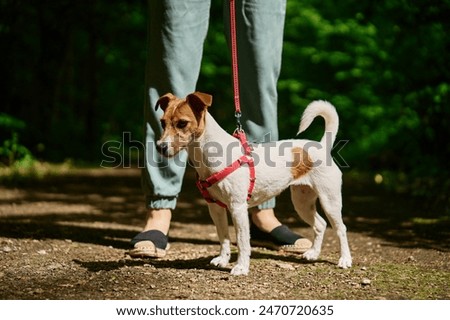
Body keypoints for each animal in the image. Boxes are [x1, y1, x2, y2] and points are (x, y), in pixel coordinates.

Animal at [155, 92, 352, 276]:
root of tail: (322, 147)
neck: (210, 156)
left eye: (182, 123)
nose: (160, 147)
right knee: (320, 224)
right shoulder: (215, 208)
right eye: (162, 123)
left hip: (330, 200)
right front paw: (223, 259)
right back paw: (313, 253)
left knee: (341, 228)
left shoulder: (238, 208)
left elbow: (242, 241)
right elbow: (223, 237)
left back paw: (345, 259)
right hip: (302, 202)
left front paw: (241, 267)